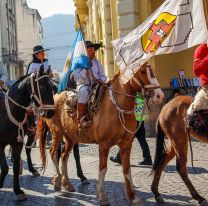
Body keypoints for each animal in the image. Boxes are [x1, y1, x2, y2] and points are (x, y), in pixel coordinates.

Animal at [38, 63, 163, 206]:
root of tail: (54, 97)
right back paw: (57, 181)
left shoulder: (126, 145)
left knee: (64, 156)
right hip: (57, 133)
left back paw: (67, 184)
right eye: (142, 71)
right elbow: (103, 169)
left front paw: (133, 197)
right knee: (53, 153)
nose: (159, 95)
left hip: (70, 138)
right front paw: (102, 196)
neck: (117, 109)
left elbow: (126, 169)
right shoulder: (104, 144)